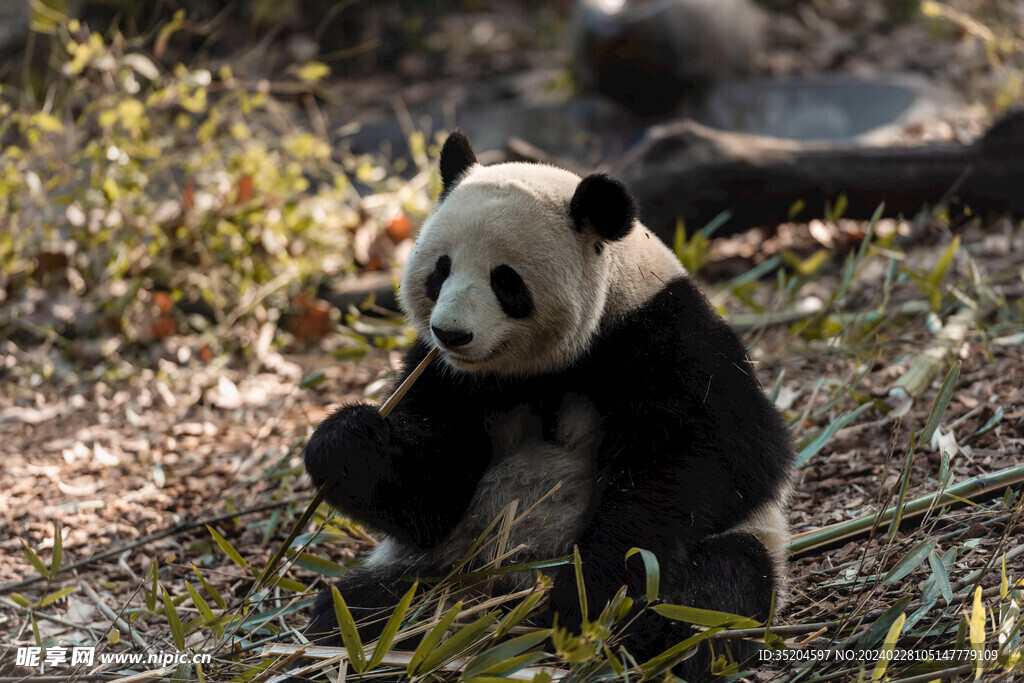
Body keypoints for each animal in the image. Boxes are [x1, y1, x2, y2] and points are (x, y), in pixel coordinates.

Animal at [299, 129, 794, 679]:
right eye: (440, 271)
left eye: (505, 280)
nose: (451, 333)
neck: (539, 368)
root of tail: (504, 596)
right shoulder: (445, 378)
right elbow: (429, 500)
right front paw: (348, 441)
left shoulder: (667, 337)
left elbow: (713, 459)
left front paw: (588, 596)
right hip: (443, 565)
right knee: (367, 602)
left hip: (746, 547)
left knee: (717, 588)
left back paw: (655, 638)